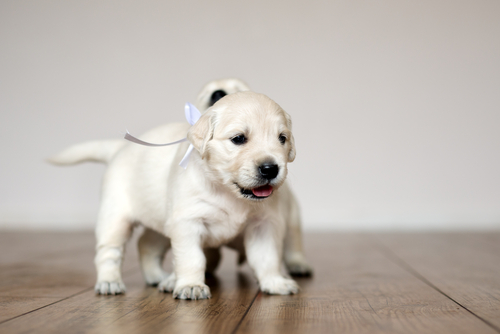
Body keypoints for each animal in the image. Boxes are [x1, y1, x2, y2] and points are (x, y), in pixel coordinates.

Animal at [48, 79, 310, 300]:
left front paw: (274, 282)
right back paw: (110, 282)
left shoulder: (263, 224)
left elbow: (267, 257)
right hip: (115, 218)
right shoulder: (187, 223)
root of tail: (118, 148)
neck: (226, 190)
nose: (270, 168)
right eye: (238, 139)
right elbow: (191, 258)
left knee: (146, 244)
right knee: (109, 252)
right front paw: (190, 285)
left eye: (282, 138)